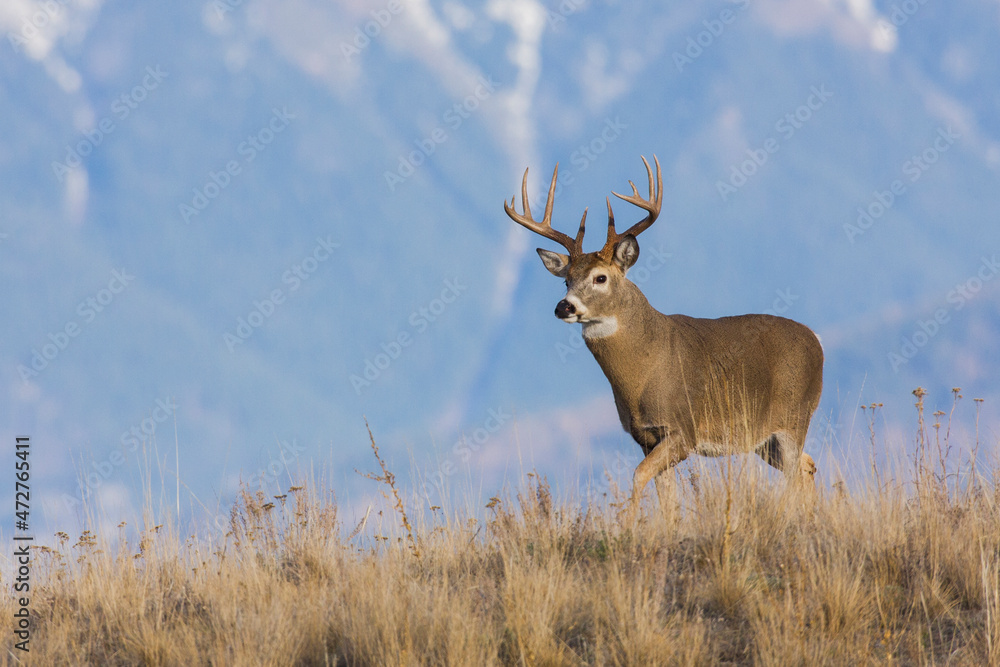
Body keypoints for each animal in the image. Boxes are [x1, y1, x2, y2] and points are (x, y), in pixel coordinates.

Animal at [504, 156, 824, 523]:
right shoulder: (646, 436)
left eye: (600, 278)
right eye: (566, 280)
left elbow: (639, 475)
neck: (644, 372)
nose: (563, 306)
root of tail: (817, 342)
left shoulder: (683, 429)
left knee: (797, 472)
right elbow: (666, 499)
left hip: (794, 418)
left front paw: (628, 525)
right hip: (764, 440)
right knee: (807, 466)